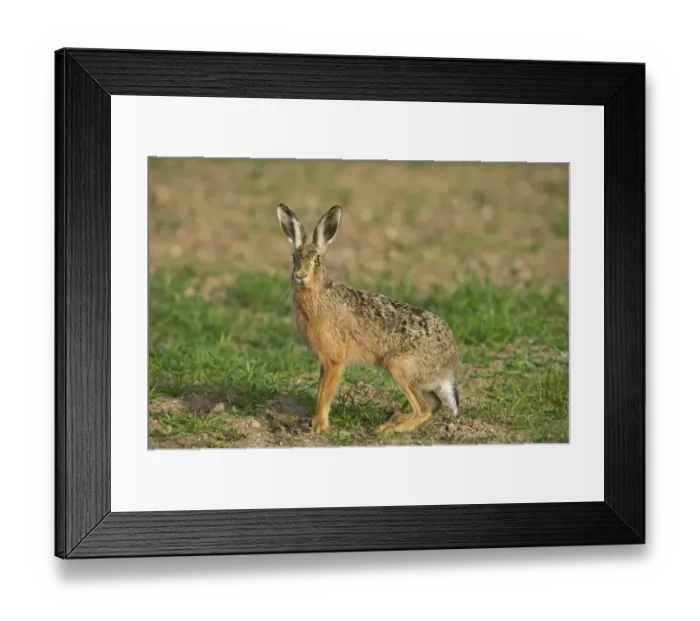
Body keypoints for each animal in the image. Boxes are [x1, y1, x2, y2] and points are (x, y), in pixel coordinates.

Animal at [276, 203, 462, 436]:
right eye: (294, 258)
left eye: (317, 259)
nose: (300, 276)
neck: (318, 294)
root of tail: (451, 361)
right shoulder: (324, 362)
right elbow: (319, 393)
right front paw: (313, 423)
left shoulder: (334, 361)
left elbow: (325, 395)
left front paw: (320, 428)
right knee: (434, 403)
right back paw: (395, 420)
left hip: (399, 366)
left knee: (423, 409)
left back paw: (389, 428)